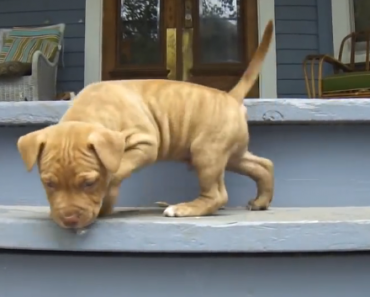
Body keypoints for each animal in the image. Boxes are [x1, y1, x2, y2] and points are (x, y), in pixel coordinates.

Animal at [16, 20, 274, 229]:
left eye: (89, 183)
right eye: (48, 183)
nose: (69, 220)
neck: (89, 112)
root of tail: (230, 97)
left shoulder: (145, 144)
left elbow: (117, 171)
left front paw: (107, 195)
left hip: (206, 152)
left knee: (217, 194)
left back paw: (185, 208)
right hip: (230, 154)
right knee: (263, 165)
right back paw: (261, 201)